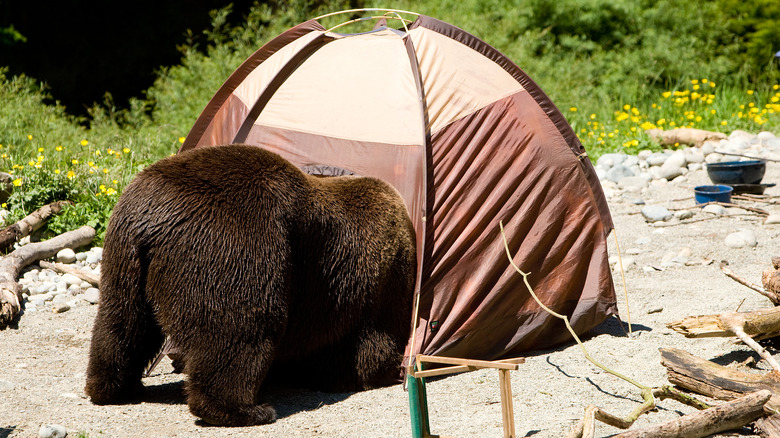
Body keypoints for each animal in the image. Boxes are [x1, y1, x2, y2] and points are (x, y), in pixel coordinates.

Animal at [84, 144, 417, 426]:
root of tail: (152, 220)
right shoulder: (374, 283)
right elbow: (372, 341)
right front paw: (377, 372)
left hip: (123, 260)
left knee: (121, 325)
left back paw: (113, 388)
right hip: (236, 246)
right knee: (240, 329)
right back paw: (245, 409)